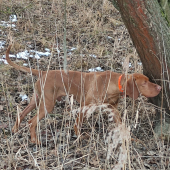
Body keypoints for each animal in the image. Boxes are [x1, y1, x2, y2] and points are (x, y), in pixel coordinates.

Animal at [5, 44, 161, 143]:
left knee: (22, 113)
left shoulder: (113, 110)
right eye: (144, 83)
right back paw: (34, 140)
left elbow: (121, 126)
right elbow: (77, 124)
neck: (111, 84)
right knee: (31, 121)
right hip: (47, 105)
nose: (159, 87)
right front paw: (79, 136)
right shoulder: (85, 106)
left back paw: (15, 129)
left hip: (36, 100)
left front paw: (131, 138)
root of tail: (43, 72)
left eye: (148, 80)